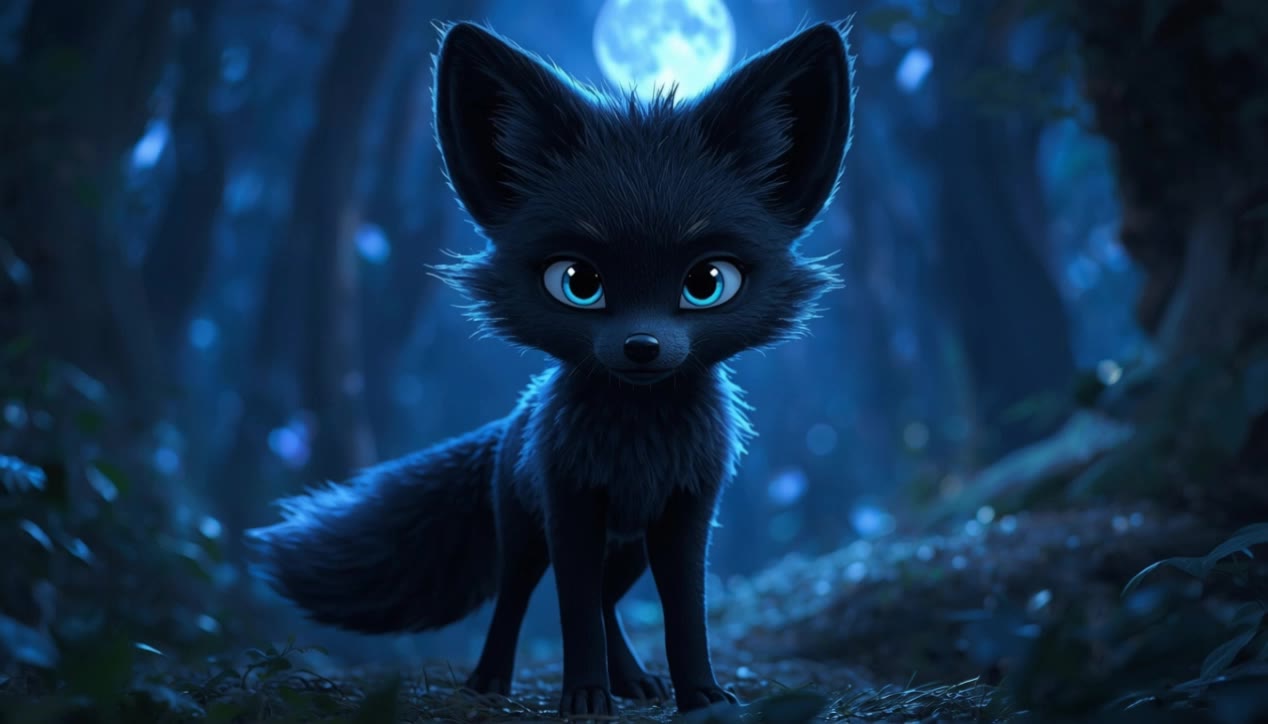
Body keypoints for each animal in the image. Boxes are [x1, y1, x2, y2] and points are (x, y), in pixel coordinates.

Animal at [246, 19, 854, 720]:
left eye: (707, 282)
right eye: (578, 282)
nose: (642, 347)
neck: (638, 441)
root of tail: (511, 421)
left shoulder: (685, 511)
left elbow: (683, 614)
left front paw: (700, 696)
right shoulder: (571, 507)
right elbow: (573, 613)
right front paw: (585, 696)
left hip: (628, 549)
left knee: (609, 600)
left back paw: (635, 681)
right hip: (526, 538)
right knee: (521, 600)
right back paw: (489, 682)